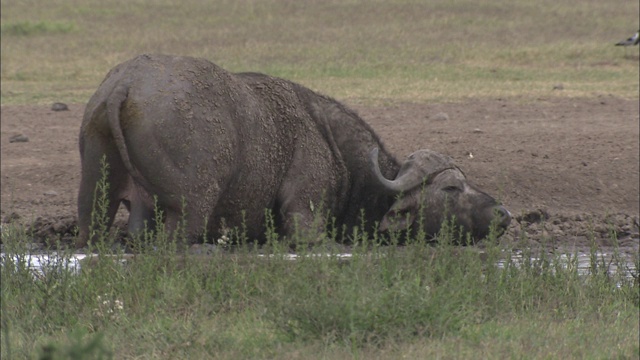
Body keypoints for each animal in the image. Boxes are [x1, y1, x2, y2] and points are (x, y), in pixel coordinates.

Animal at [77, 54, 512, 248]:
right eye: (451, 188)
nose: (504, 214)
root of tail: (126, 82)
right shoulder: (305, 216)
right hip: (190, 208)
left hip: (94, 201)